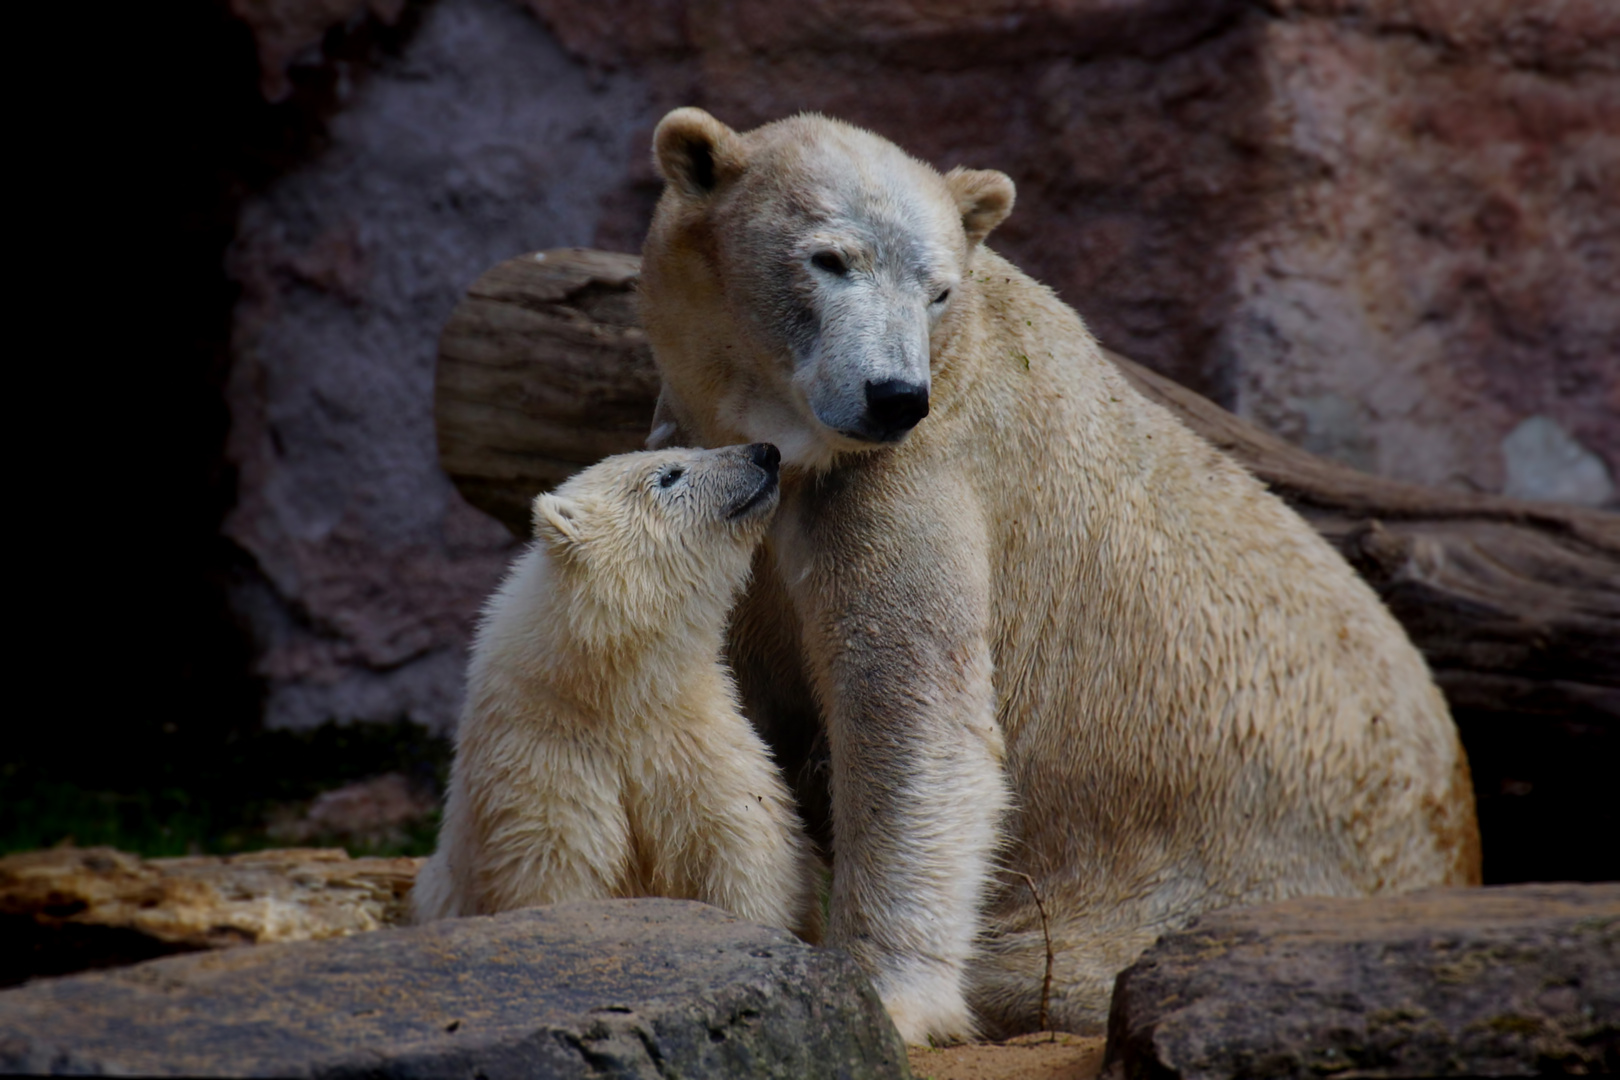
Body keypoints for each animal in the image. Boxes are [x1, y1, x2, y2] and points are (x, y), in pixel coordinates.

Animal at [638, 107, 1477, 1036]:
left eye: (938, 289)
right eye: (829, 259)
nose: (892, 394)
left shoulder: (915, 474)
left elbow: (918, 717)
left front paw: (885, 991)